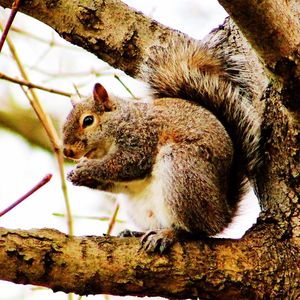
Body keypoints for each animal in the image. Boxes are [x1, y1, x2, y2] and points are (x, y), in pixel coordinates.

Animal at [62, 37, 260, 253]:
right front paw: (76, 175)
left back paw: (169, 234)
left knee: (196, 230)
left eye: (88, 120)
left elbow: (126, 164)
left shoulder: (141, 139)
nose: (67, 151)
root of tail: (222, 214)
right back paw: (137, 232)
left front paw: (88, 168)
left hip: (181, 173)